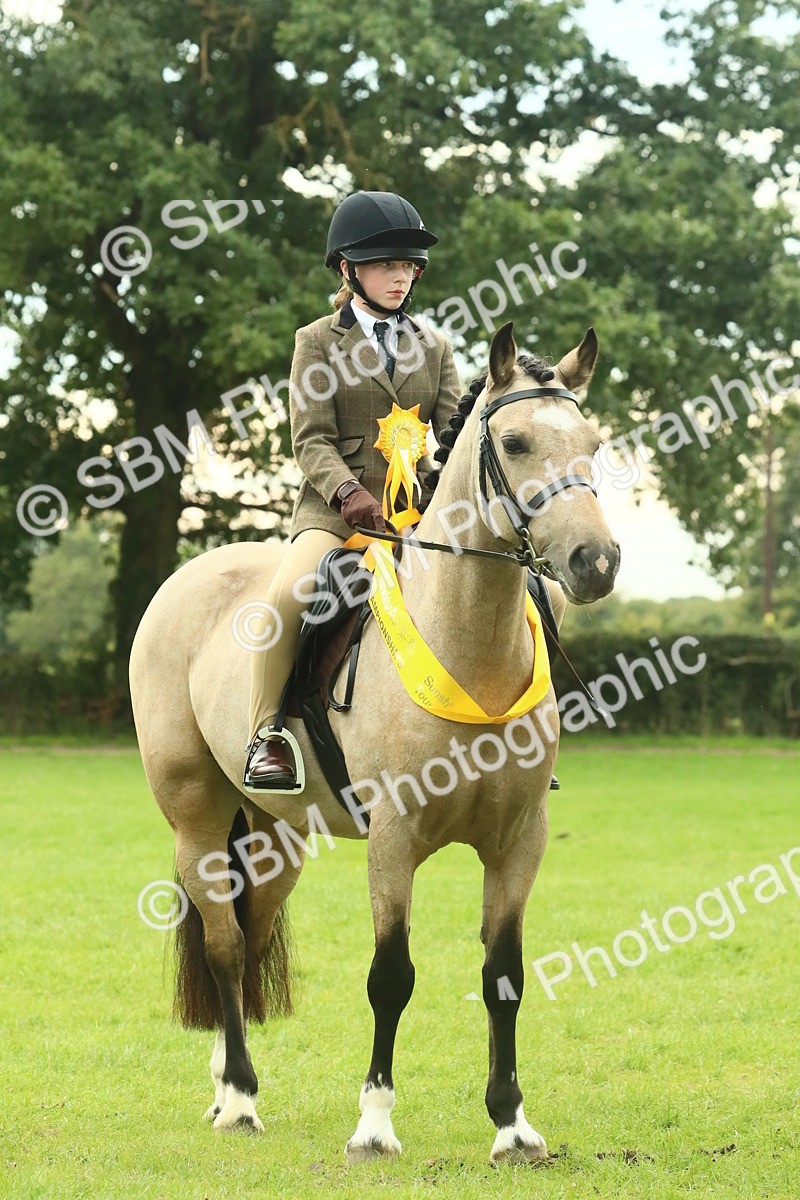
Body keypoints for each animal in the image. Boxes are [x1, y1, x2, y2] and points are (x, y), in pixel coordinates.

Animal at [129, 320, 620, 1164]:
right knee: (223, 943)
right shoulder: (393, 839)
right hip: (197, 818)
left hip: (275, 836)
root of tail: (187, 576)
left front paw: (511, 1124)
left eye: (591, 441)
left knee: (249, 934)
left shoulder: (520, 840)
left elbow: (505, 974)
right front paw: (375, 1124)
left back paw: (228, 1081)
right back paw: (240, 1099)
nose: (597, 563)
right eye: (516, 442)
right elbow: (391, 977)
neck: (468, 645)